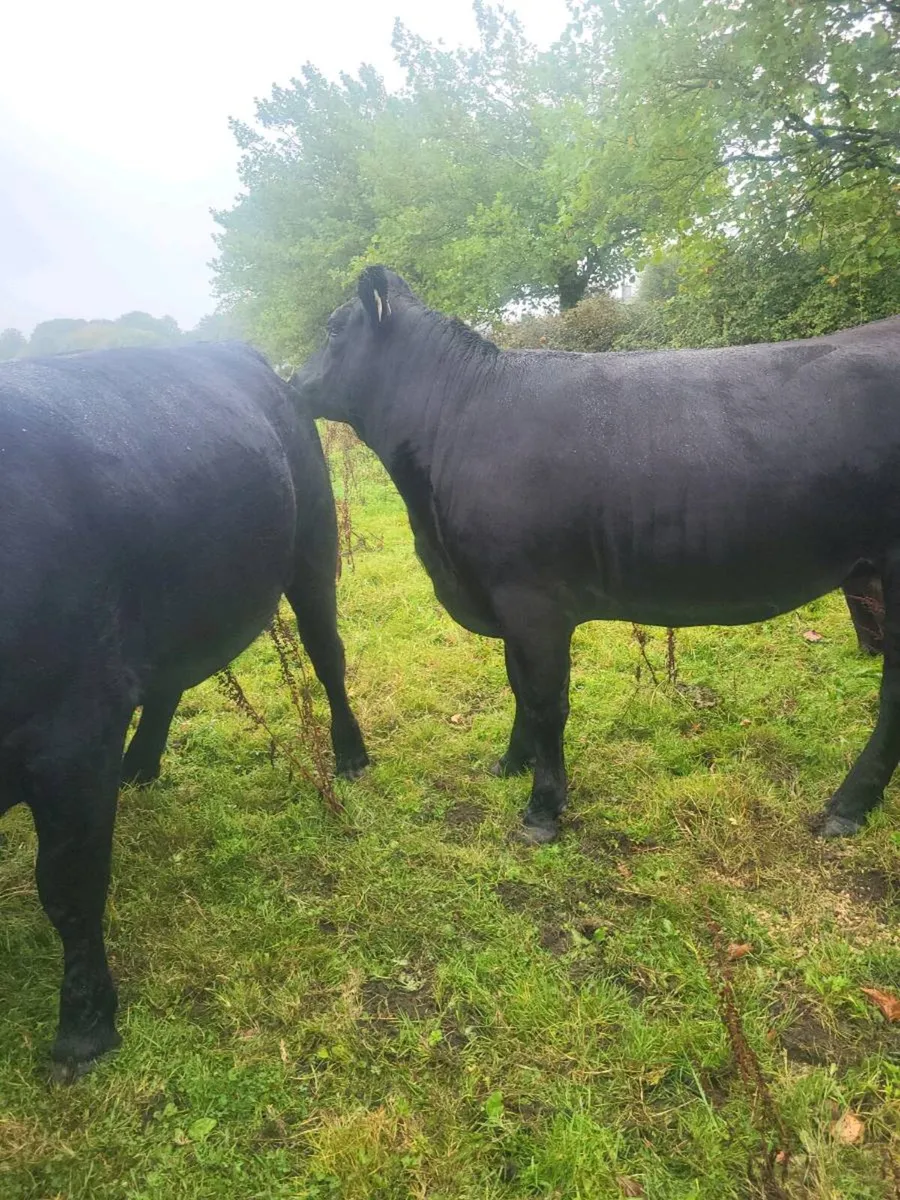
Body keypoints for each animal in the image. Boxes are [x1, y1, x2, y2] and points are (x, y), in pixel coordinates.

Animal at [0, 341, 368, 1079]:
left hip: (312, 549)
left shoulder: (70, 733)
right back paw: (139, 768)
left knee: (328, 655)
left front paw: (85, 1027)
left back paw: (349, 753)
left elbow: (68, 885)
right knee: (166, 683)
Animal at [290, 265, 900, 848]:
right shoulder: (505, 599)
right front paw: (512, 763)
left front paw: (542, 809)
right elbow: (518, 685)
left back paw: (847, 806)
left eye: (333, 329)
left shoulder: (531, 598)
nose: (292, 382)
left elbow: (545, 700)